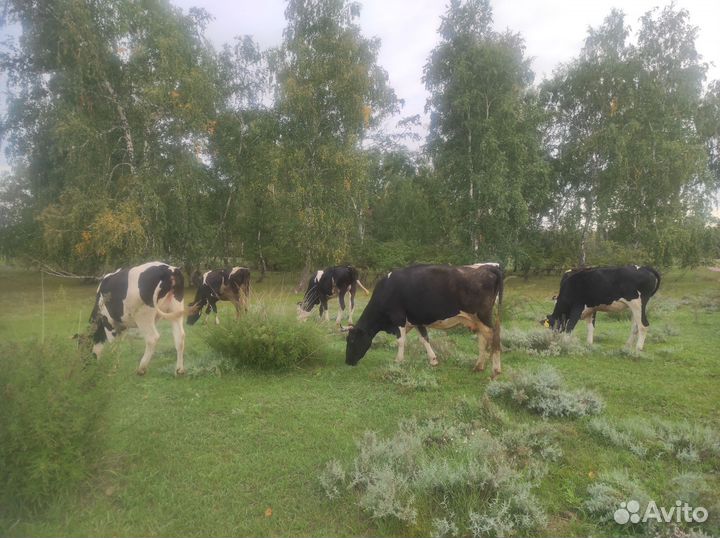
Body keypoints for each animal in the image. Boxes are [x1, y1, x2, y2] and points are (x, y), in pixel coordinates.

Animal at [345, 263, 504, 378]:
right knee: (483, 340)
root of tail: (488, 267)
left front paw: (398, 360)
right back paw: (478, 366)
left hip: (483, 316)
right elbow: (424, 338)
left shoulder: (398, 318)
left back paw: (495, 370)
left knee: (493, 337)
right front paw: (433, 360)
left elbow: (401, 341)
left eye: (351, 340)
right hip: (477, 319)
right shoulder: (416, 320)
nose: (347, 361)